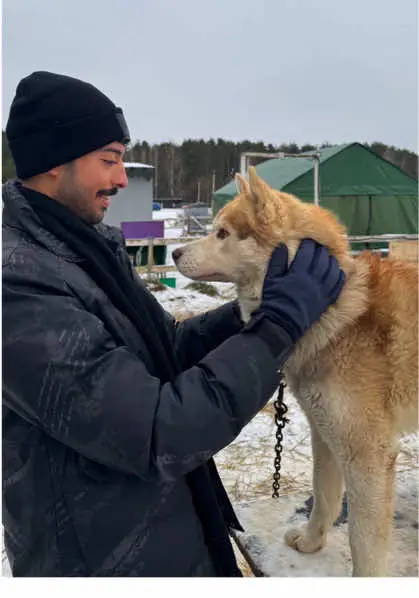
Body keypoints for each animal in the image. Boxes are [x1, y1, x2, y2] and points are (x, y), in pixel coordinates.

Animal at [172, 166, 418, 580]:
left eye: (222, 232)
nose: (174, 252)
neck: (336, 308)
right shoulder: (325, 433)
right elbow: (324, 496)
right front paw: (311, 541)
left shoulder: (367, 453)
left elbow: (363, 541)